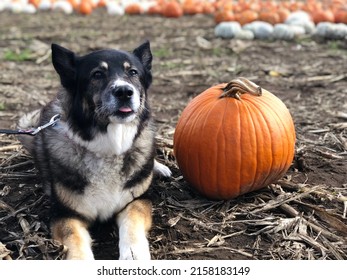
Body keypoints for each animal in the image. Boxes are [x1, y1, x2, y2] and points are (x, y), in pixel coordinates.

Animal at [17, 40, 172, 260]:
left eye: (133, 72)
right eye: (97, 74)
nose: (124, 92)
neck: (109, 148)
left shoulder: (137, 201)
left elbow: (132, 223)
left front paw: (133, 254)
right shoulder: (64, 214)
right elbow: (73, 238)